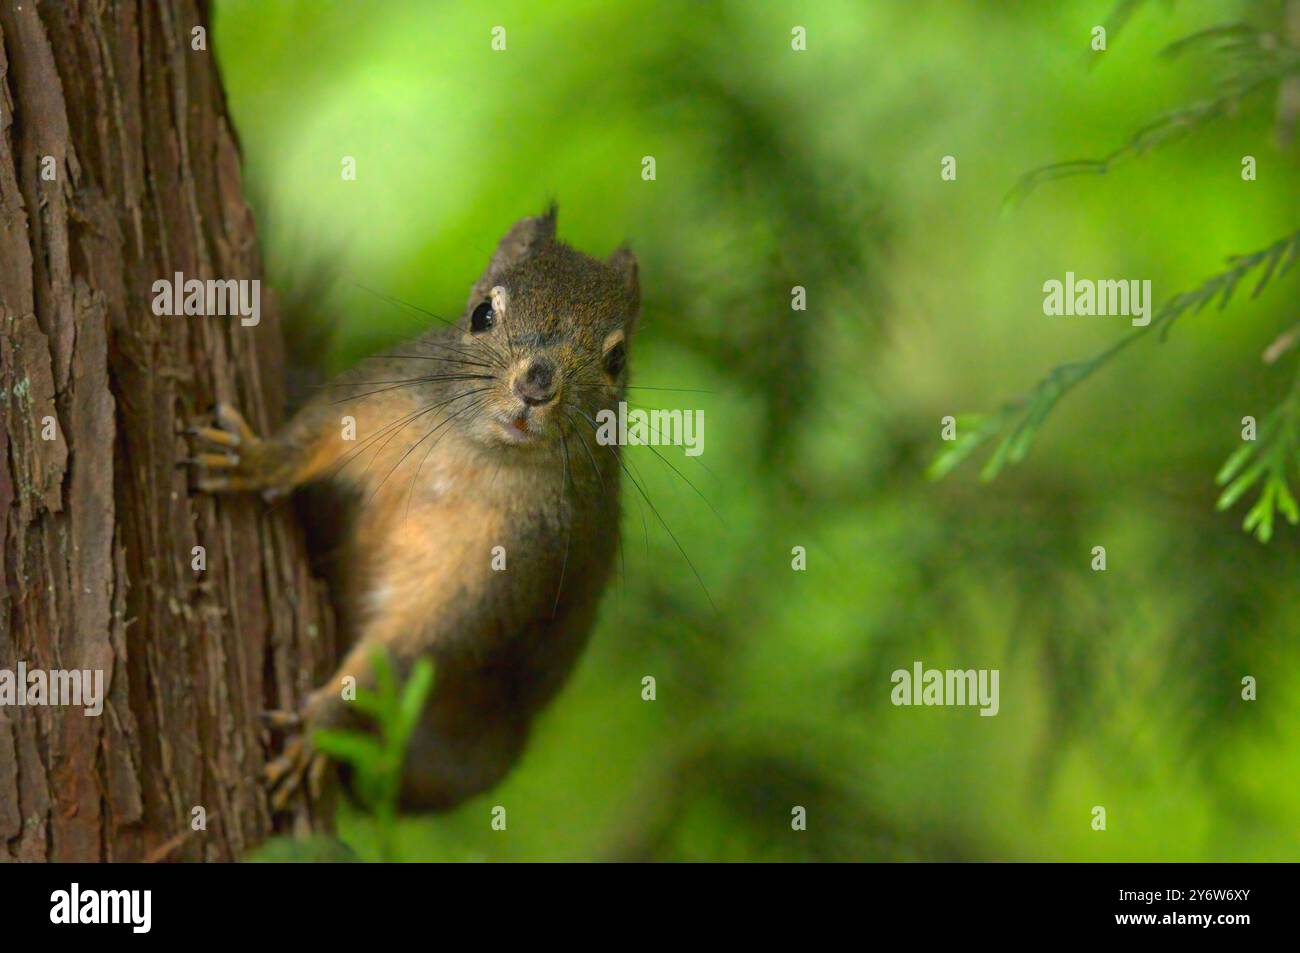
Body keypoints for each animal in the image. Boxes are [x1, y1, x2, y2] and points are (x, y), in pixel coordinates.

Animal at [186, 206, 638, 811]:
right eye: (481, 313)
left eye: (617, 359)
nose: (538, 385)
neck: (478, 457)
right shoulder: (385, 395)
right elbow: (313, 433)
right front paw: (257, 459)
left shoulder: (503, 569)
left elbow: (404, 652)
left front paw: (316, 728)